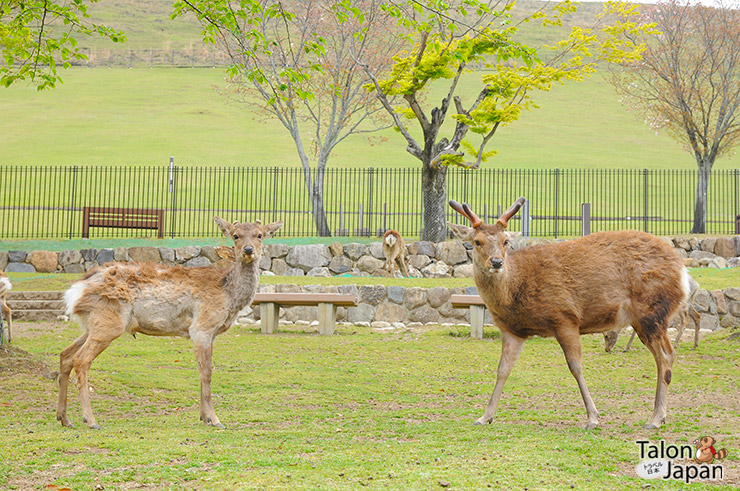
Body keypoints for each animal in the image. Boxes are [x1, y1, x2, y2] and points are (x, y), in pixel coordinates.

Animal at [57, 217, 284, 428]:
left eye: (260, 235)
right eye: (235, 235)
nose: (248, 250)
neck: (229, 297)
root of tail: (76, 290)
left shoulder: (211, 334)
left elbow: (202, 371)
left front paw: (203, 417)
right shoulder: (202, 327)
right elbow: (207, 372)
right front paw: (214, 419)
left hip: (92, 324)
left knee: (65, 354)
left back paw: (64, 418)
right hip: (109, 322)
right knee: (81, 360)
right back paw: (90, 419)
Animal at [448, 198, 692, 428]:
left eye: (505, 241)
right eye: (476, 242)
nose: (497, 262)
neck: (516, 291)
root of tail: (682, 270)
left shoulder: (565, 317)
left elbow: (575, 366)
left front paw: (593, 418)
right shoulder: (512, 330)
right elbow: (502, 370)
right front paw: (484, 416)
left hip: (652, 312)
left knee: (666, 355)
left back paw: (655, 418)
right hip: (645, 319)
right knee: (664, 356)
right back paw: (659, 415)